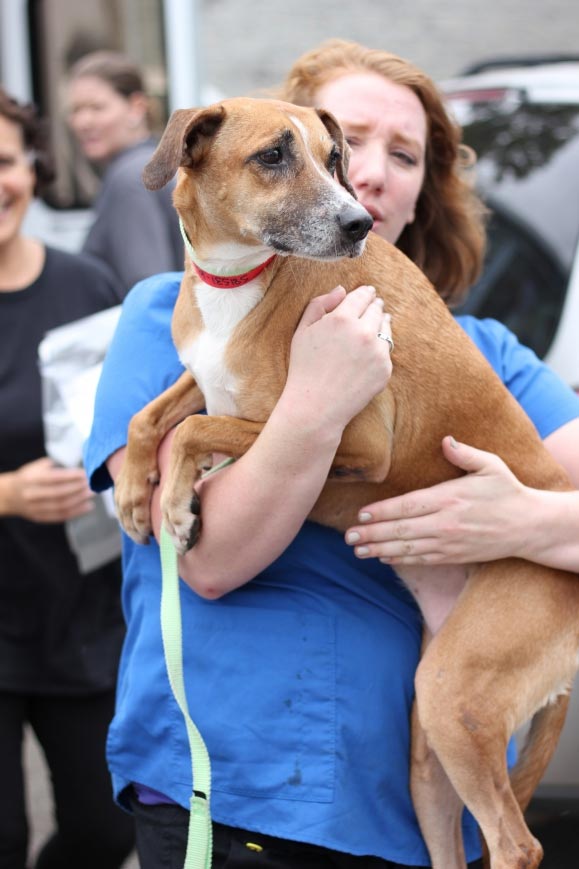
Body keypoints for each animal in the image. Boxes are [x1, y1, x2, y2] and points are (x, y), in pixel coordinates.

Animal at [115, 98, 579, 868]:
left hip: (456, 697)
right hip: (429, 745)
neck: (238, 282)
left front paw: (177, 505)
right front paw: (131, 488)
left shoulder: (352, 441)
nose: (359, 223)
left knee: (517, 846)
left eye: (335, 158)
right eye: (273, 155)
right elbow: (150, 415)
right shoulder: (208, 379)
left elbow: (198, 428)